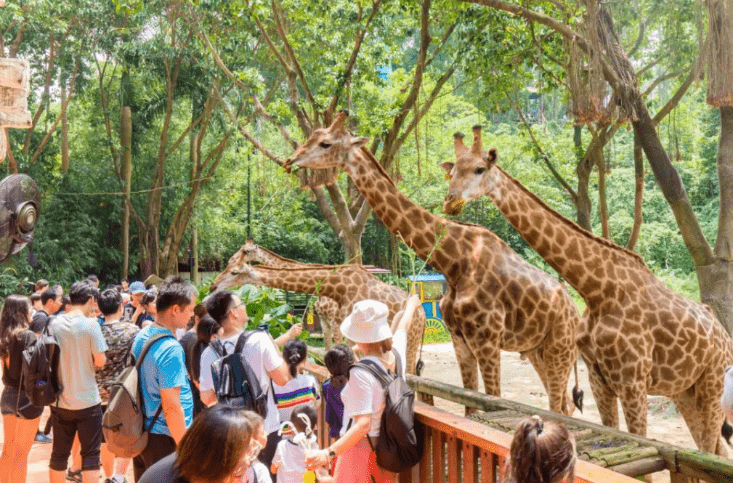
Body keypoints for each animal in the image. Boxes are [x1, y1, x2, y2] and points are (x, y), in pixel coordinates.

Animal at [209, 262, 426, 376]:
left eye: (235, 271)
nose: (213, 285)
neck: (337, 286)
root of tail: (422, 313)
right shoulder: (339, 327)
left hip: (413, 339)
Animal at [284, 112, 584, 416]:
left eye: (325, 143)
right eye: (311, 137)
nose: (291, 160)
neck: (454, 261)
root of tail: (574, 310)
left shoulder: (487, 340)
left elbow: (490, 403)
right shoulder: (460, 339)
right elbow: (470, 405)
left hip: (560, 348)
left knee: (560, 405)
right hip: (537, 350)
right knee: (564, 404)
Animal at [440, 125, 732, 458]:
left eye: (479, 169)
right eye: (452, 171)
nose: (449, 202)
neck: (597, 290)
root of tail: (726, 339)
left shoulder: (633, 381)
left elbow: (639, 438)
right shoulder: (599, 379)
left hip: (712, 386)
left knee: (710, 445)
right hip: (684, 390)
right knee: (714, 448)